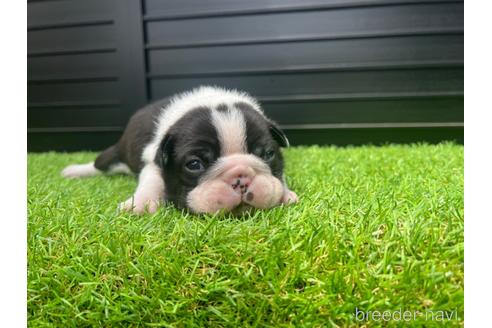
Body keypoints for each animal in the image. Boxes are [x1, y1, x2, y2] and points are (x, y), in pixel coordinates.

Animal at [63, 86, 298, 215]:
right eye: (194, 164)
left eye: (268, 154)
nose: (241, 179)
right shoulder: (153, 158)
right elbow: (151, 181)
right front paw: (139, 205)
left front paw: (285, 194)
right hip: (115, 155)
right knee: (99, 164)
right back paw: (73, 171)